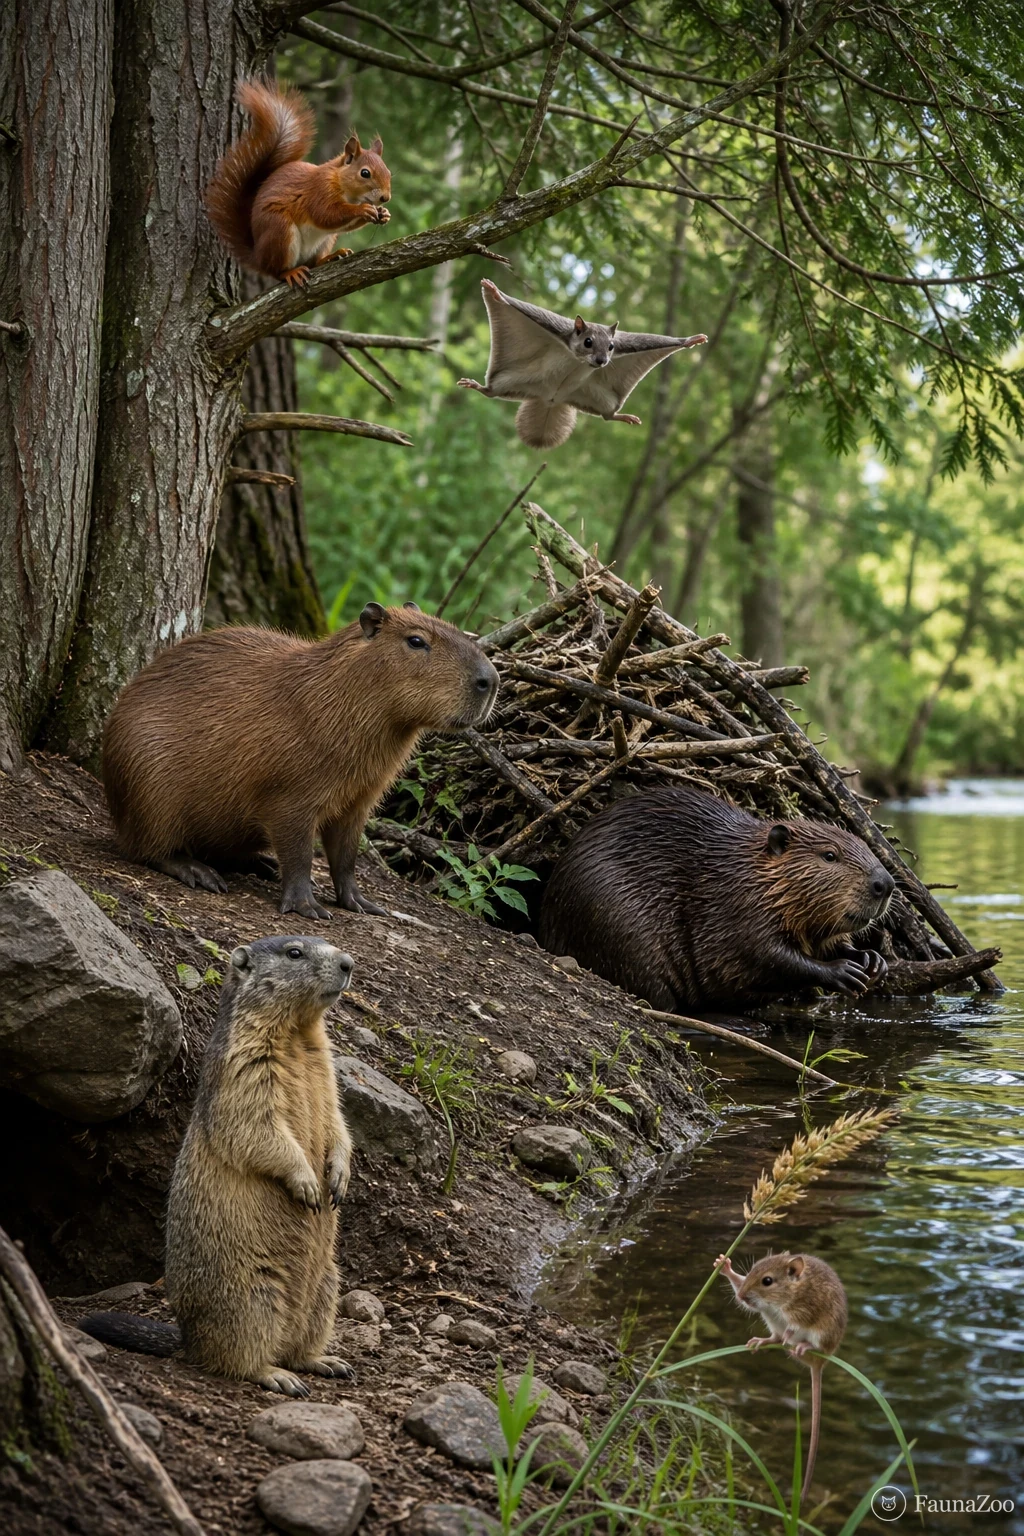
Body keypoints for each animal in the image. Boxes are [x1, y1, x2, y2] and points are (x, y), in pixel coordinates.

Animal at [205, 78, 391, 289]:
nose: (385, 198)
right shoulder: (319, 190)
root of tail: (258, 257)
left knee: (313, 263)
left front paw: (383, 213)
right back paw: (290, 272)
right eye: (365, 173)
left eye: (388, 173)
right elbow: (326, 215)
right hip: (280, 231)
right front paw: (363, 210)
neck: (347, 190)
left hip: (325, 240)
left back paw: (331, 256)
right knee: (277, 271)